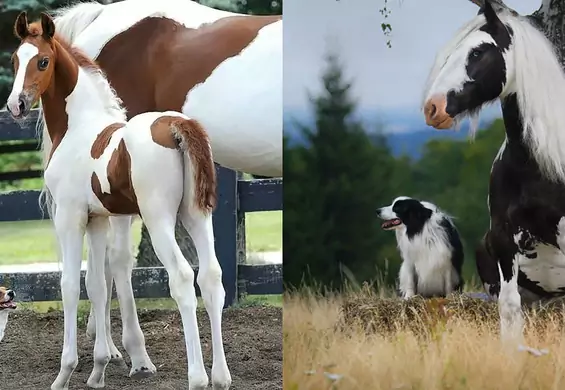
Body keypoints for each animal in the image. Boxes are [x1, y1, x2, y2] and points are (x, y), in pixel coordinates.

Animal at [4, 12, 229, 390]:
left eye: (43, 61)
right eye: (14, 60)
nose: (16, 105)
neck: (78, 128)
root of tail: (177, 126)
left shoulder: (70, 217)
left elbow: (69, 284)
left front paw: (65, 372)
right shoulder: (97, 219)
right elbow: (97, 285)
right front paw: (98, 370)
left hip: (158, 218)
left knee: (182, 278)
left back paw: (197, 377)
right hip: (196, 215)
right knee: (211, 278)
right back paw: (221, 376)